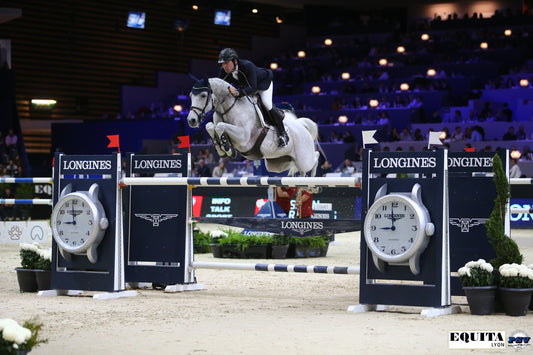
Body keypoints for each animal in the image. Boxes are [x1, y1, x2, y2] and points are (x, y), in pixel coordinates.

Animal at [187, 78, 320, 178]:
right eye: (190, 95)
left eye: (203, 95)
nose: (191, 120)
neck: (228, 109)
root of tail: (302, 127)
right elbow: (210, 126)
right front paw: (221, 148)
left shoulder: (243, 138)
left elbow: (220, 126)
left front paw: (226, 147)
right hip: (279, 164)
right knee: (297, 167)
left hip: (304, 158)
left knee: (315, 157)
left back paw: (312, 183)